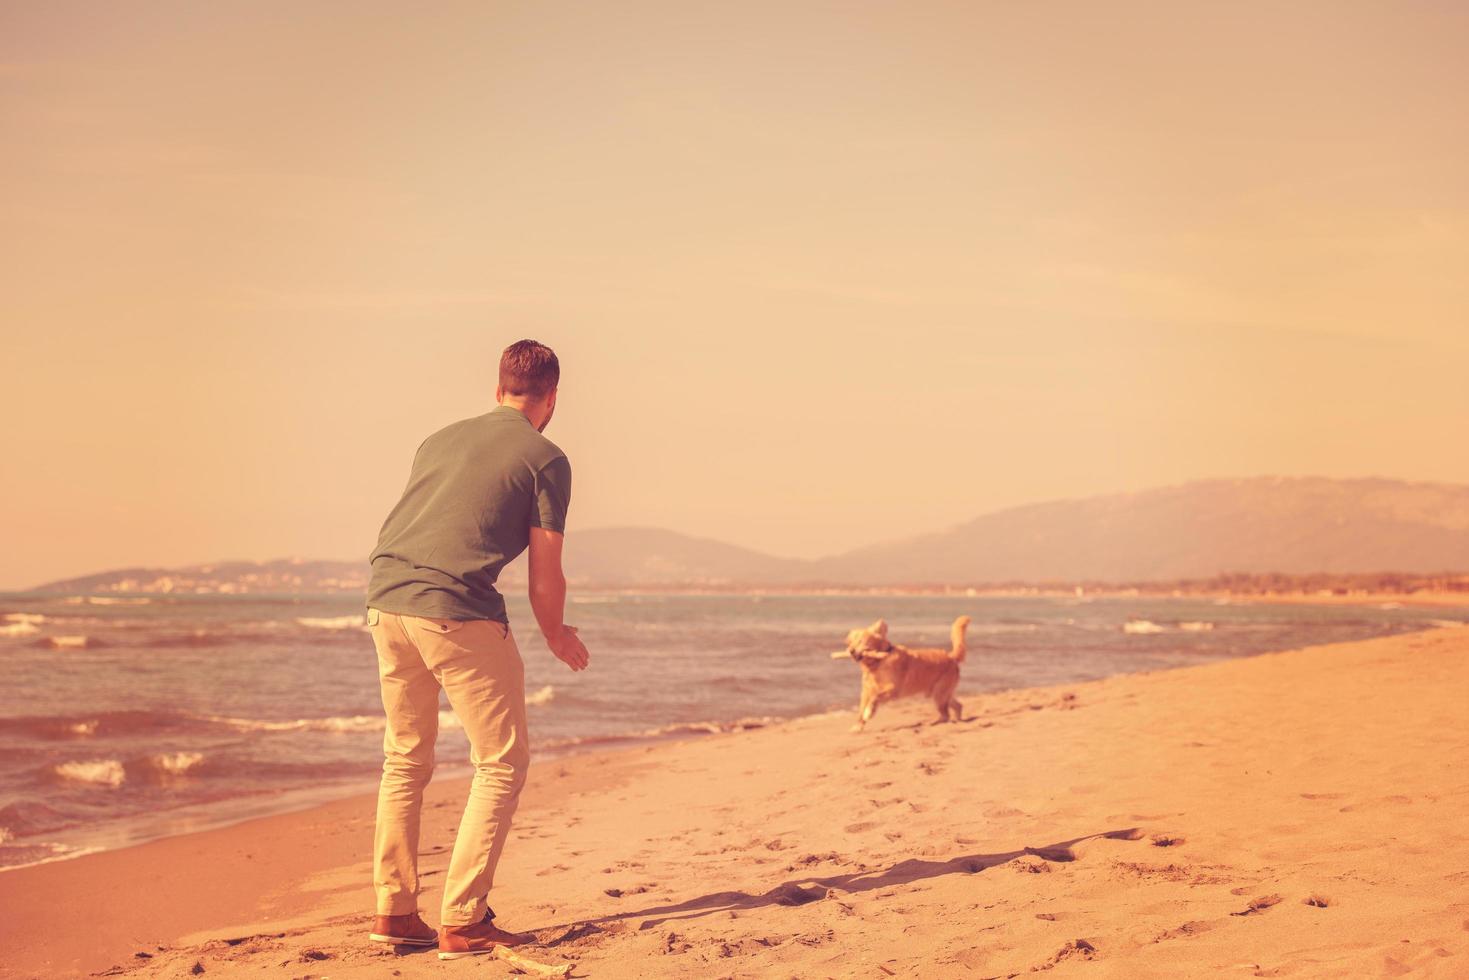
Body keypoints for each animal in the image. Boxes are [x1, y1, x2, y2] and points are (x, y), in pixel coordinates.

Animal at [834, 617, 969, 731]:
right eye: (850, 642)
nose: (851, 651)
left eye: (861, 641)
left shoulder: (892, 689)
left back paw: (932, 723)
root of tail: (951, 656)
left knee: (946, 715)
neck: (877, 663)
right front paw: (858, 726)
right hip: (942, 693)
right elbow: (861, 710)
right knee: (958, 706)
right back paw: (958, 720)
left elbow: (875, 698)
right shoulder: (866, 691)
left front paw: (869, 713)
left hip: (939, 694)